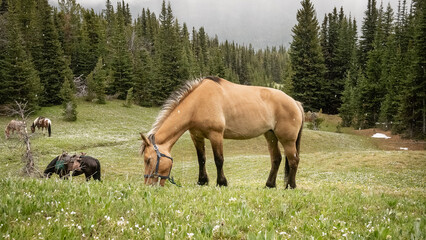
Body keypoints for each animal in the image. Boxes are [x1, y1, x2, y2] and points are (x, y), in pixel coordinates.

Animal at [141, 76, 304, 188]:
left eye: (148, 160)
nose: (148, 184)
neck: (198, 103)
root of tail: (295, 102)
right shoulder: (196, 136)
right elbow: (202, 159)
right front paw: (202, 181)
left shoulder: (216, 135)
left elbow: (218, 160)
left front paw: (221, 182)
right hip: (270, 135)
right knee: (276, 159)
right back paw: (269, 185)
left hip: (287, 140)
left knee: (294, 160)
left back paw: (291, 186)